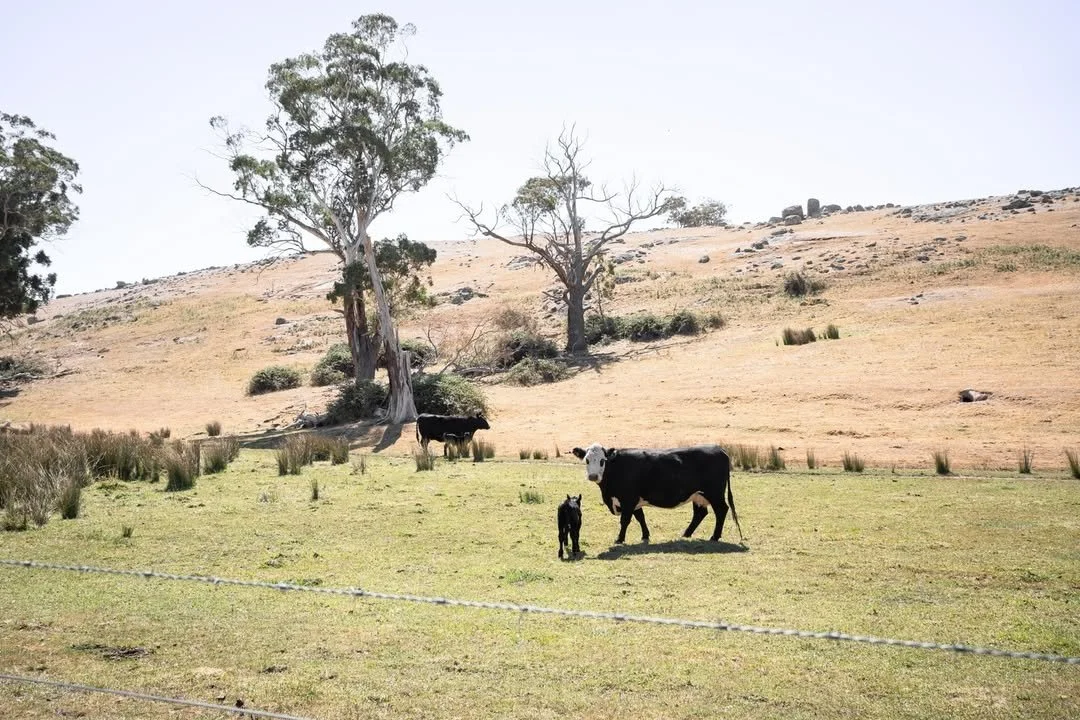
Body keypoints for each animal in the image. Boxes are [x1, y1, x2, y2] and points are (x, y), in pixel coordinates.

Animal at [571, 443, 742, 545]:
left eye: (602, 460)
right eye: (587, 460)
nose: (593, 476)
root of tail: (718, 449)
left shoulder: (628, 499)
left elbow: (625, 520)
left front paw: (619, 539)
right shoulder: (635, 500)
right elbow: (640, 517)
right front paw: (645, 535)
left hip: (715, 494)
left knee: (721, 510)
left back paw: (714, 536)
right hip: (698, 495)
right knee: (700, 513)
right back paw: (686, 534)